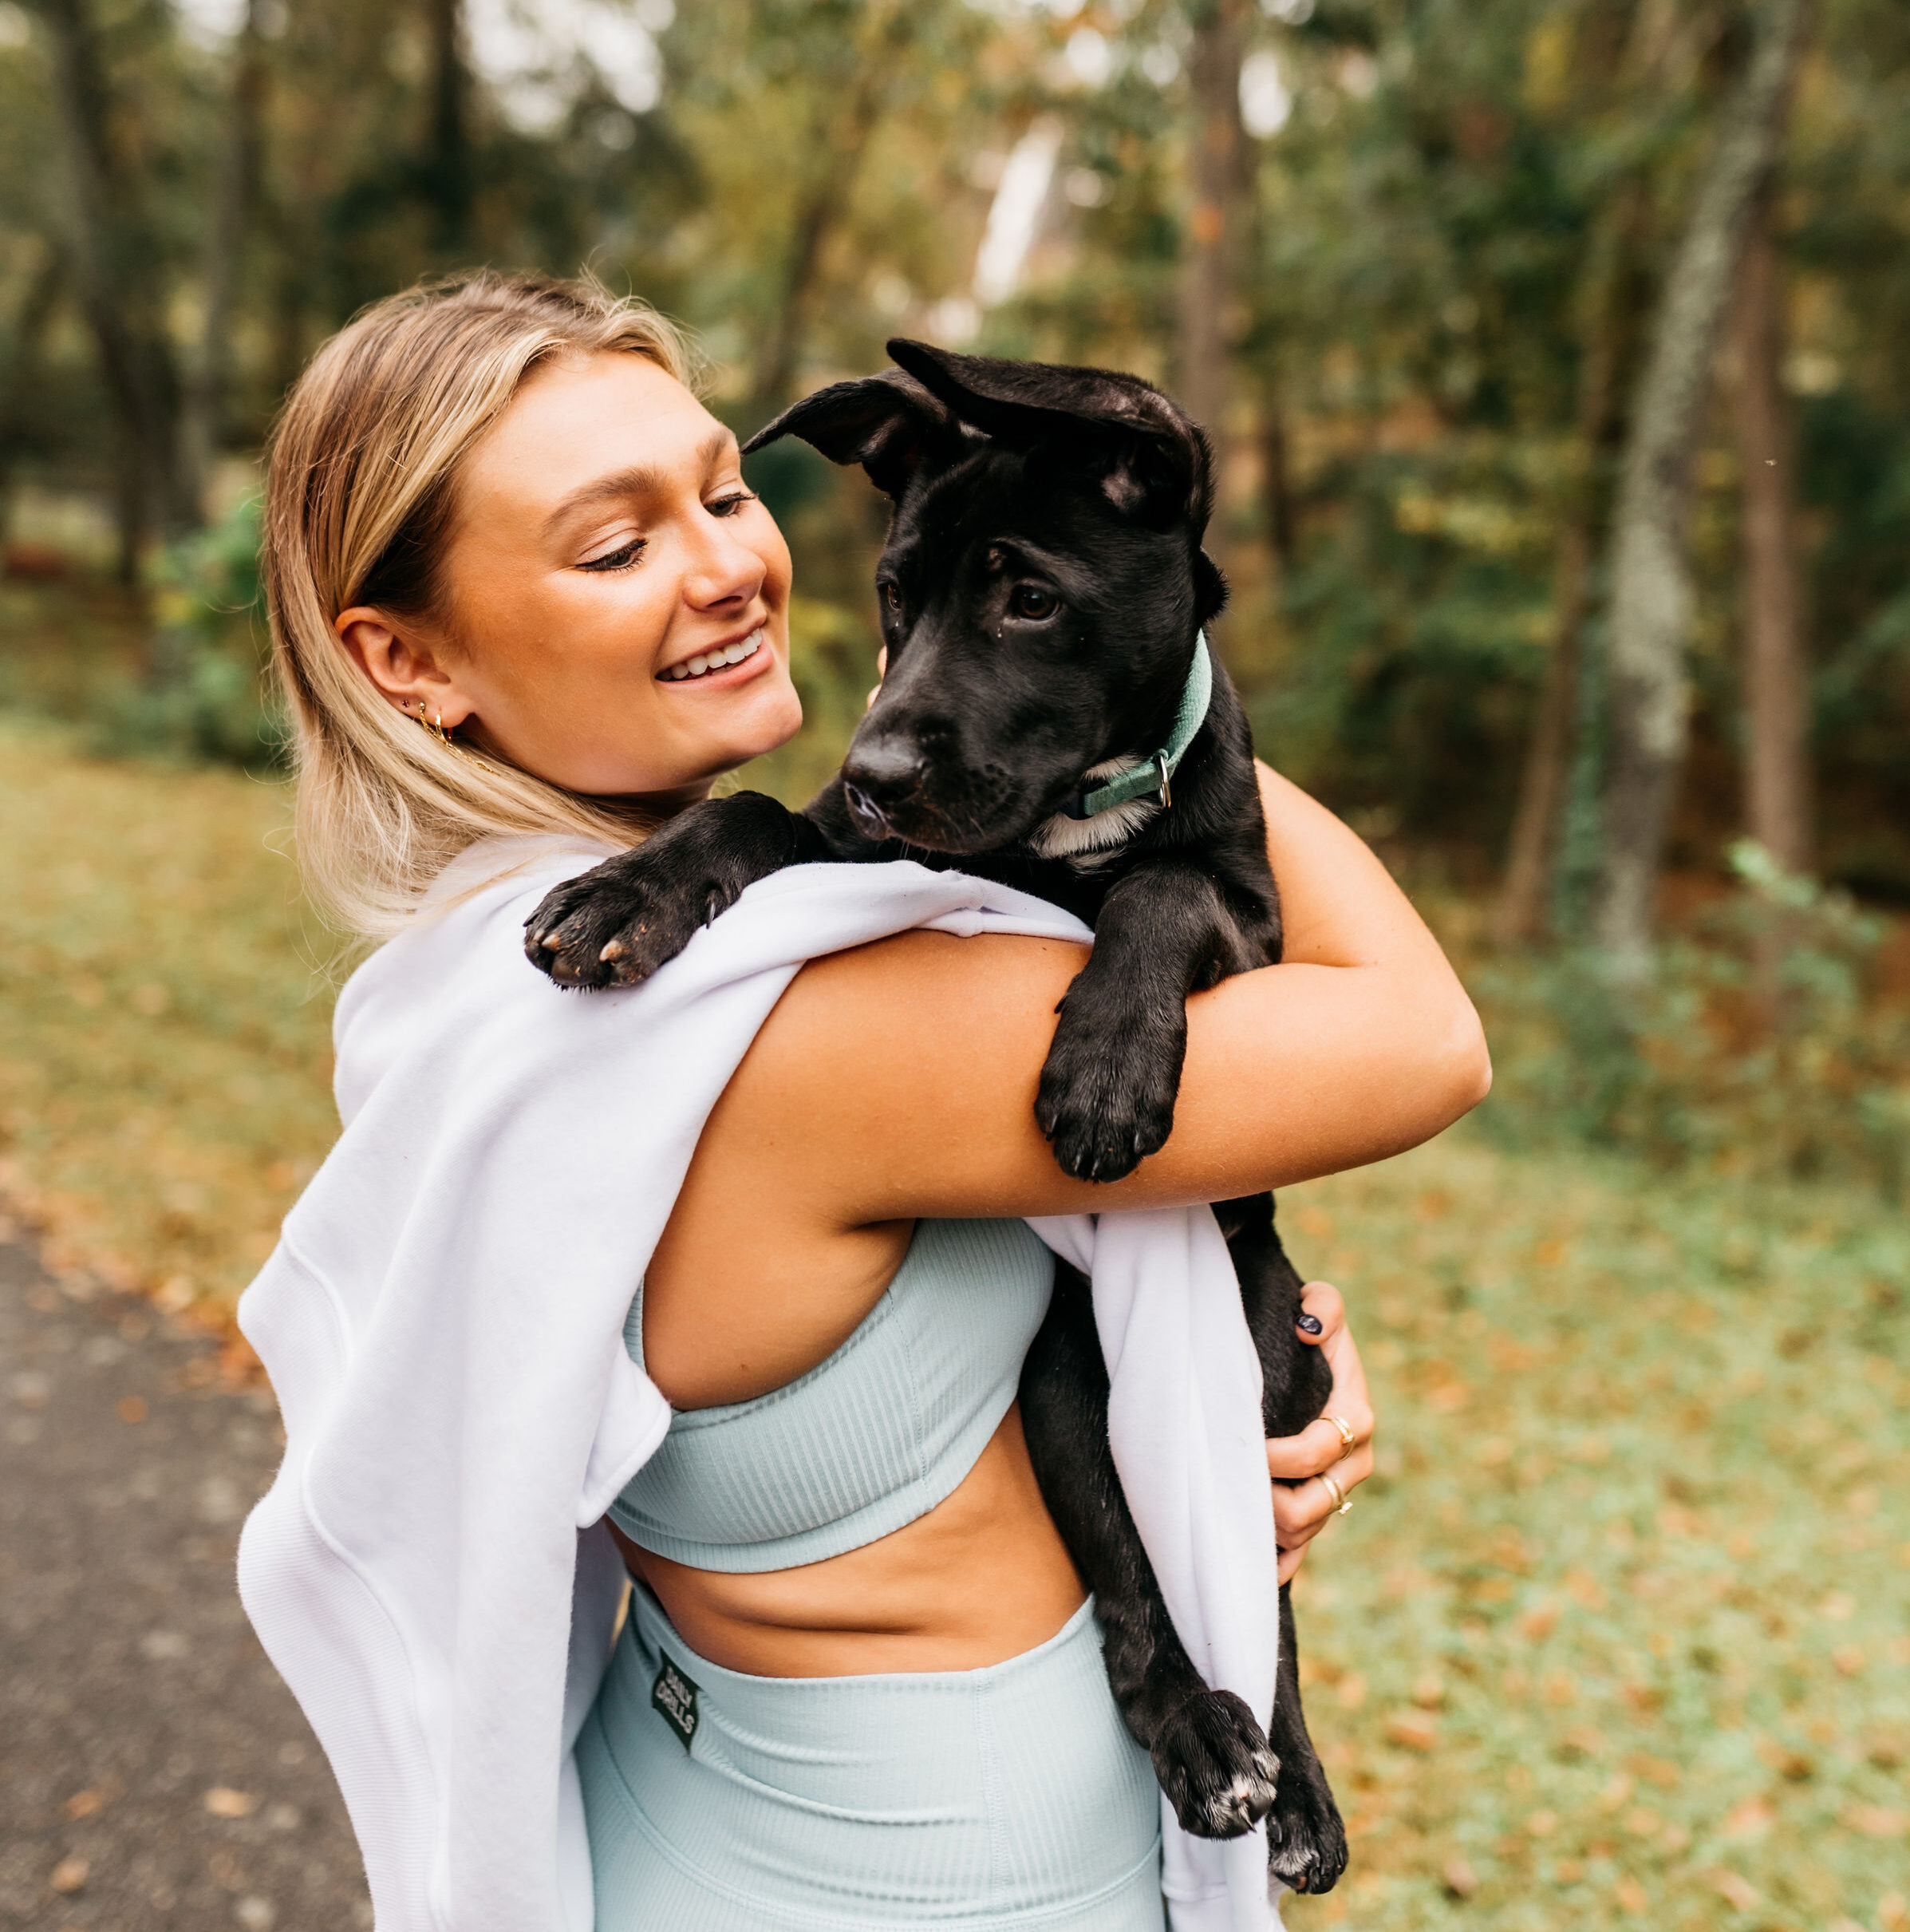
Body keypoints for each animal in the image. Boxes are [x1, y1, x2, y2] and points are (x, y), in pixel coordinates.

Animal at [525, 340, 1344, 1893]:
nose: (876, 774)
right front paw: (625, 892)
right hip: (1067, 1391)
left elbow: (1164, 889)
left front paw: (1105, 1063)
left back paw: (1283, 1782)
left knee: (1253, 1587)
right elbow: (745, 818)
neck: (1066, 826)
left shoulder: (1256, 921)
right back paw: (1200, 1739)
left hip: (1253, 1359)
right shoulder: (851, 851)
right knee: (1138, 1587)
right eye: (896, 593)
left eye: (1031, 598)